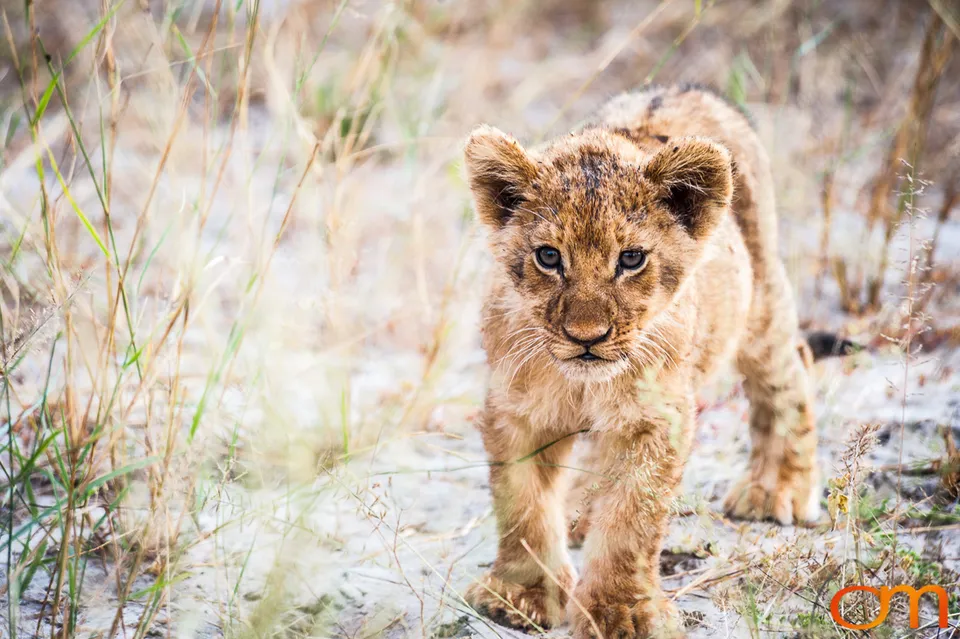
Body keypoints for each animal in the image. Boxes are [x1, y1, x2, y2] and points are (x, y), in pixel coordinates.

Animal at [461, 84, 827, 638]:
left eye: (631, 259)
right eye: (549, 257)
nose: (587, 337)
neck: (583, 382)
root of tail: (683, 89)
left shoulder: (656, 417)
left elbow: (633, 519)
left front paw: (621, 613)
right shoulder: (514, 410)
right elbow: (522, 506)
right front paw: (520, 597)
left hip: (759, 304)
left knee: (791, 369)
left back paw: (776, 488)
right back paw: (582, 514)